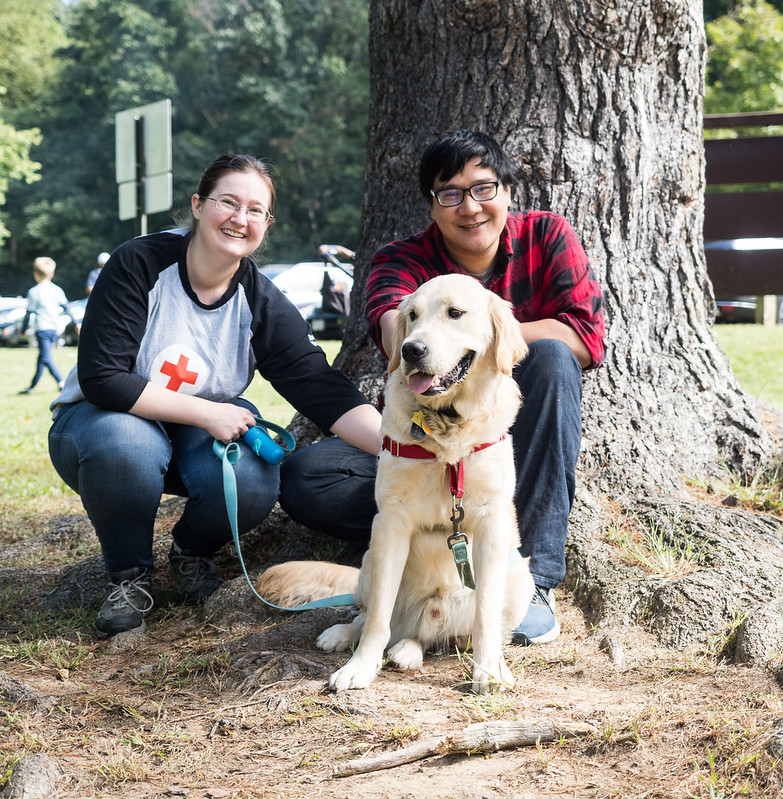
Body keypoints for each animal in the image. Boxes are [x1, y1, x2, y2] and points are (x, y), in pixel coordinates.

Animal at [260, 276, 536, 692]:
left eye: (455, 312)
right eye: (412, 316)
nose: (411, 349)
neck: (445, 430)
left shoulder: (492, 523)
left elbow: (485, 613)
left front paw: (489, 670)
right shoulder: (390, 521)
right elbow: (378, 616)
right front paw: (359, 667)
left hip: (520, 577)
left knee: (437, 636)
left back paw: (409, 650)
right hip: (369, 561)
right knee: (371, 616)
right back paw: (345, 634)